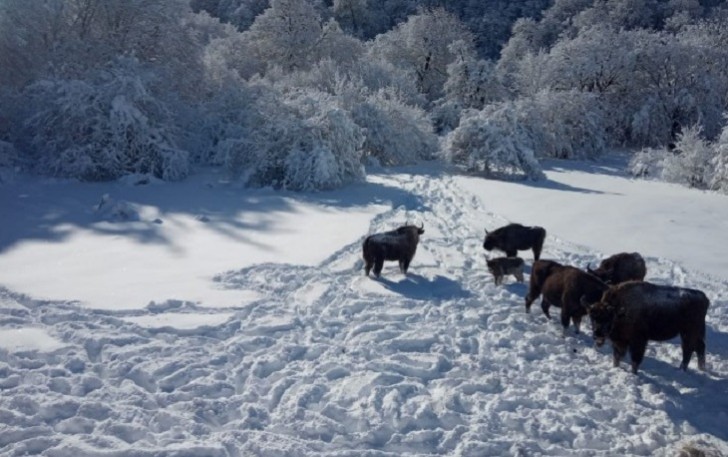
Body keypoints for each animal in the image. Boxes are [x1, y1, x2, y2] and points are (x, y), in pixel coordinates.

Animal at [584, 280, 712, 372]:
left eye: (608, 318)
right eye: (592, 317)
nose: (597, 334)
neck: (620, 310)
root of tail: (703, 297)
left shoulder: (638, 341)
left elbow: (635, 360)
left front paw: (633, 373)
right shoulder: (620, 342)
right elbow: (617, 357)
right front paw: (616, 367)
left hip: (688, 333)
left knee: (688, 350)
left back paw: (682, 370)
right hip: (693, 333)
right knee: (699, 348)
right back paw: (700, 369)